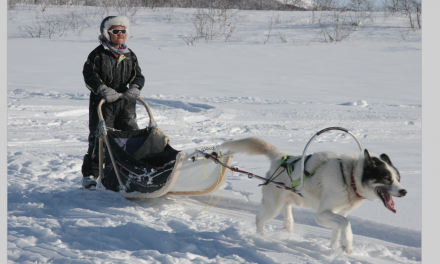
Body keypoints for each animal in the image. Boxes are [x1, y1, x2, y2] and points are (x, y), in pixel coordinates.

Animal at [222, 136, 408, 254]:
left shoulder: (338, 213)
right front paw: (347, 245)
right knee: (259, 219)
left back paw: (288, 226)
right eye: (387, 178)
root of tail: (282, 158)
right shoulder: (322, 214)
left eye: (398, 178)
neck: (349, 178)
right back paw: (262, 237)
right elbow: (345, 223)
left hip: (291, 198)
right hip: (272, 206)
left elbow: (338, 229)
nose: (404, 191)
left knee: (287, 209)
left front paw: (334, 247)